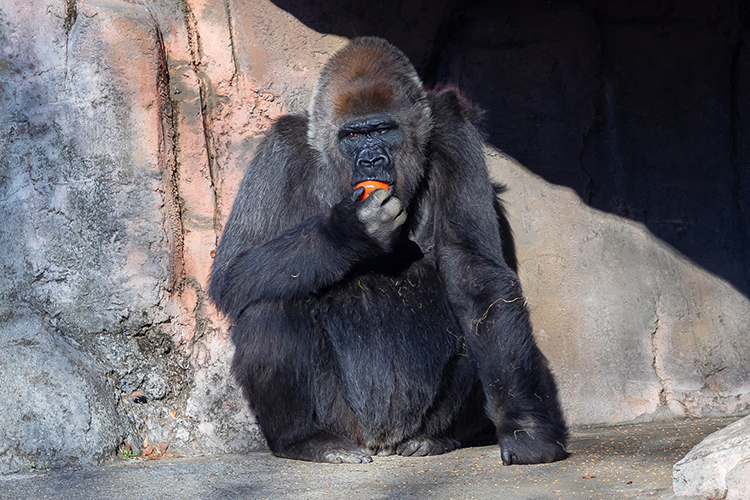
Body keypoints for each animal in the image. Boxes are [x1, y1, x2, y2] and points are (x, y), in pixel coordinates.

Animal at [209, 36, 568, 464]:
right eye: (352, 137)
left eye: (383, 129)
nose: (372, 160)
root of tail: (381, 441)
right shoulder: (279, 152)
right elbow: (233, 272)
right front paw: (349, 232)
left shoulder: (453, 131)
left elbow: (474, 276)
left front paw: (525, 426)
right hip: (344, 421)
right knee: (270, 301)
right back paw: (305, 438)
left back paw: (437, 438)